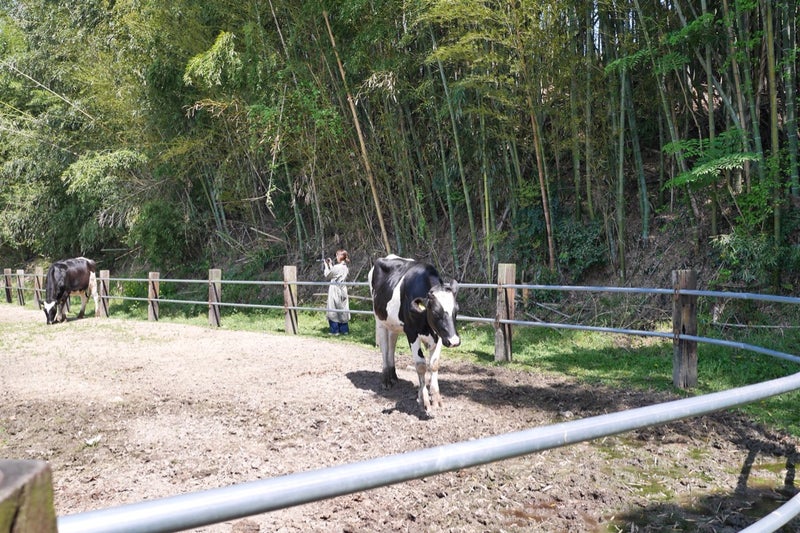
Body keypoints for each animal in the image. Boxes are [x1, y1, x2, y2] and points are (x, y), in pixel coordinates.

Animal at [370, 255, 462, 412]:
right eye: (435, 312)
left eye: (456, 310)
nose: (454, 341)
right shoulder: (411, 332)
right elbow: (420, 365)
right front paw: (424, 400)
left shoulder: (440, 335)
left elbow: (434, 364)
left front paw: (435, 398)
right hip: (380, 320)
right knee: (384, 348)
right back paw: (386, 380)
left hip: (394, 325)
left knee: (392, 346)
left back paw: (393, 376)